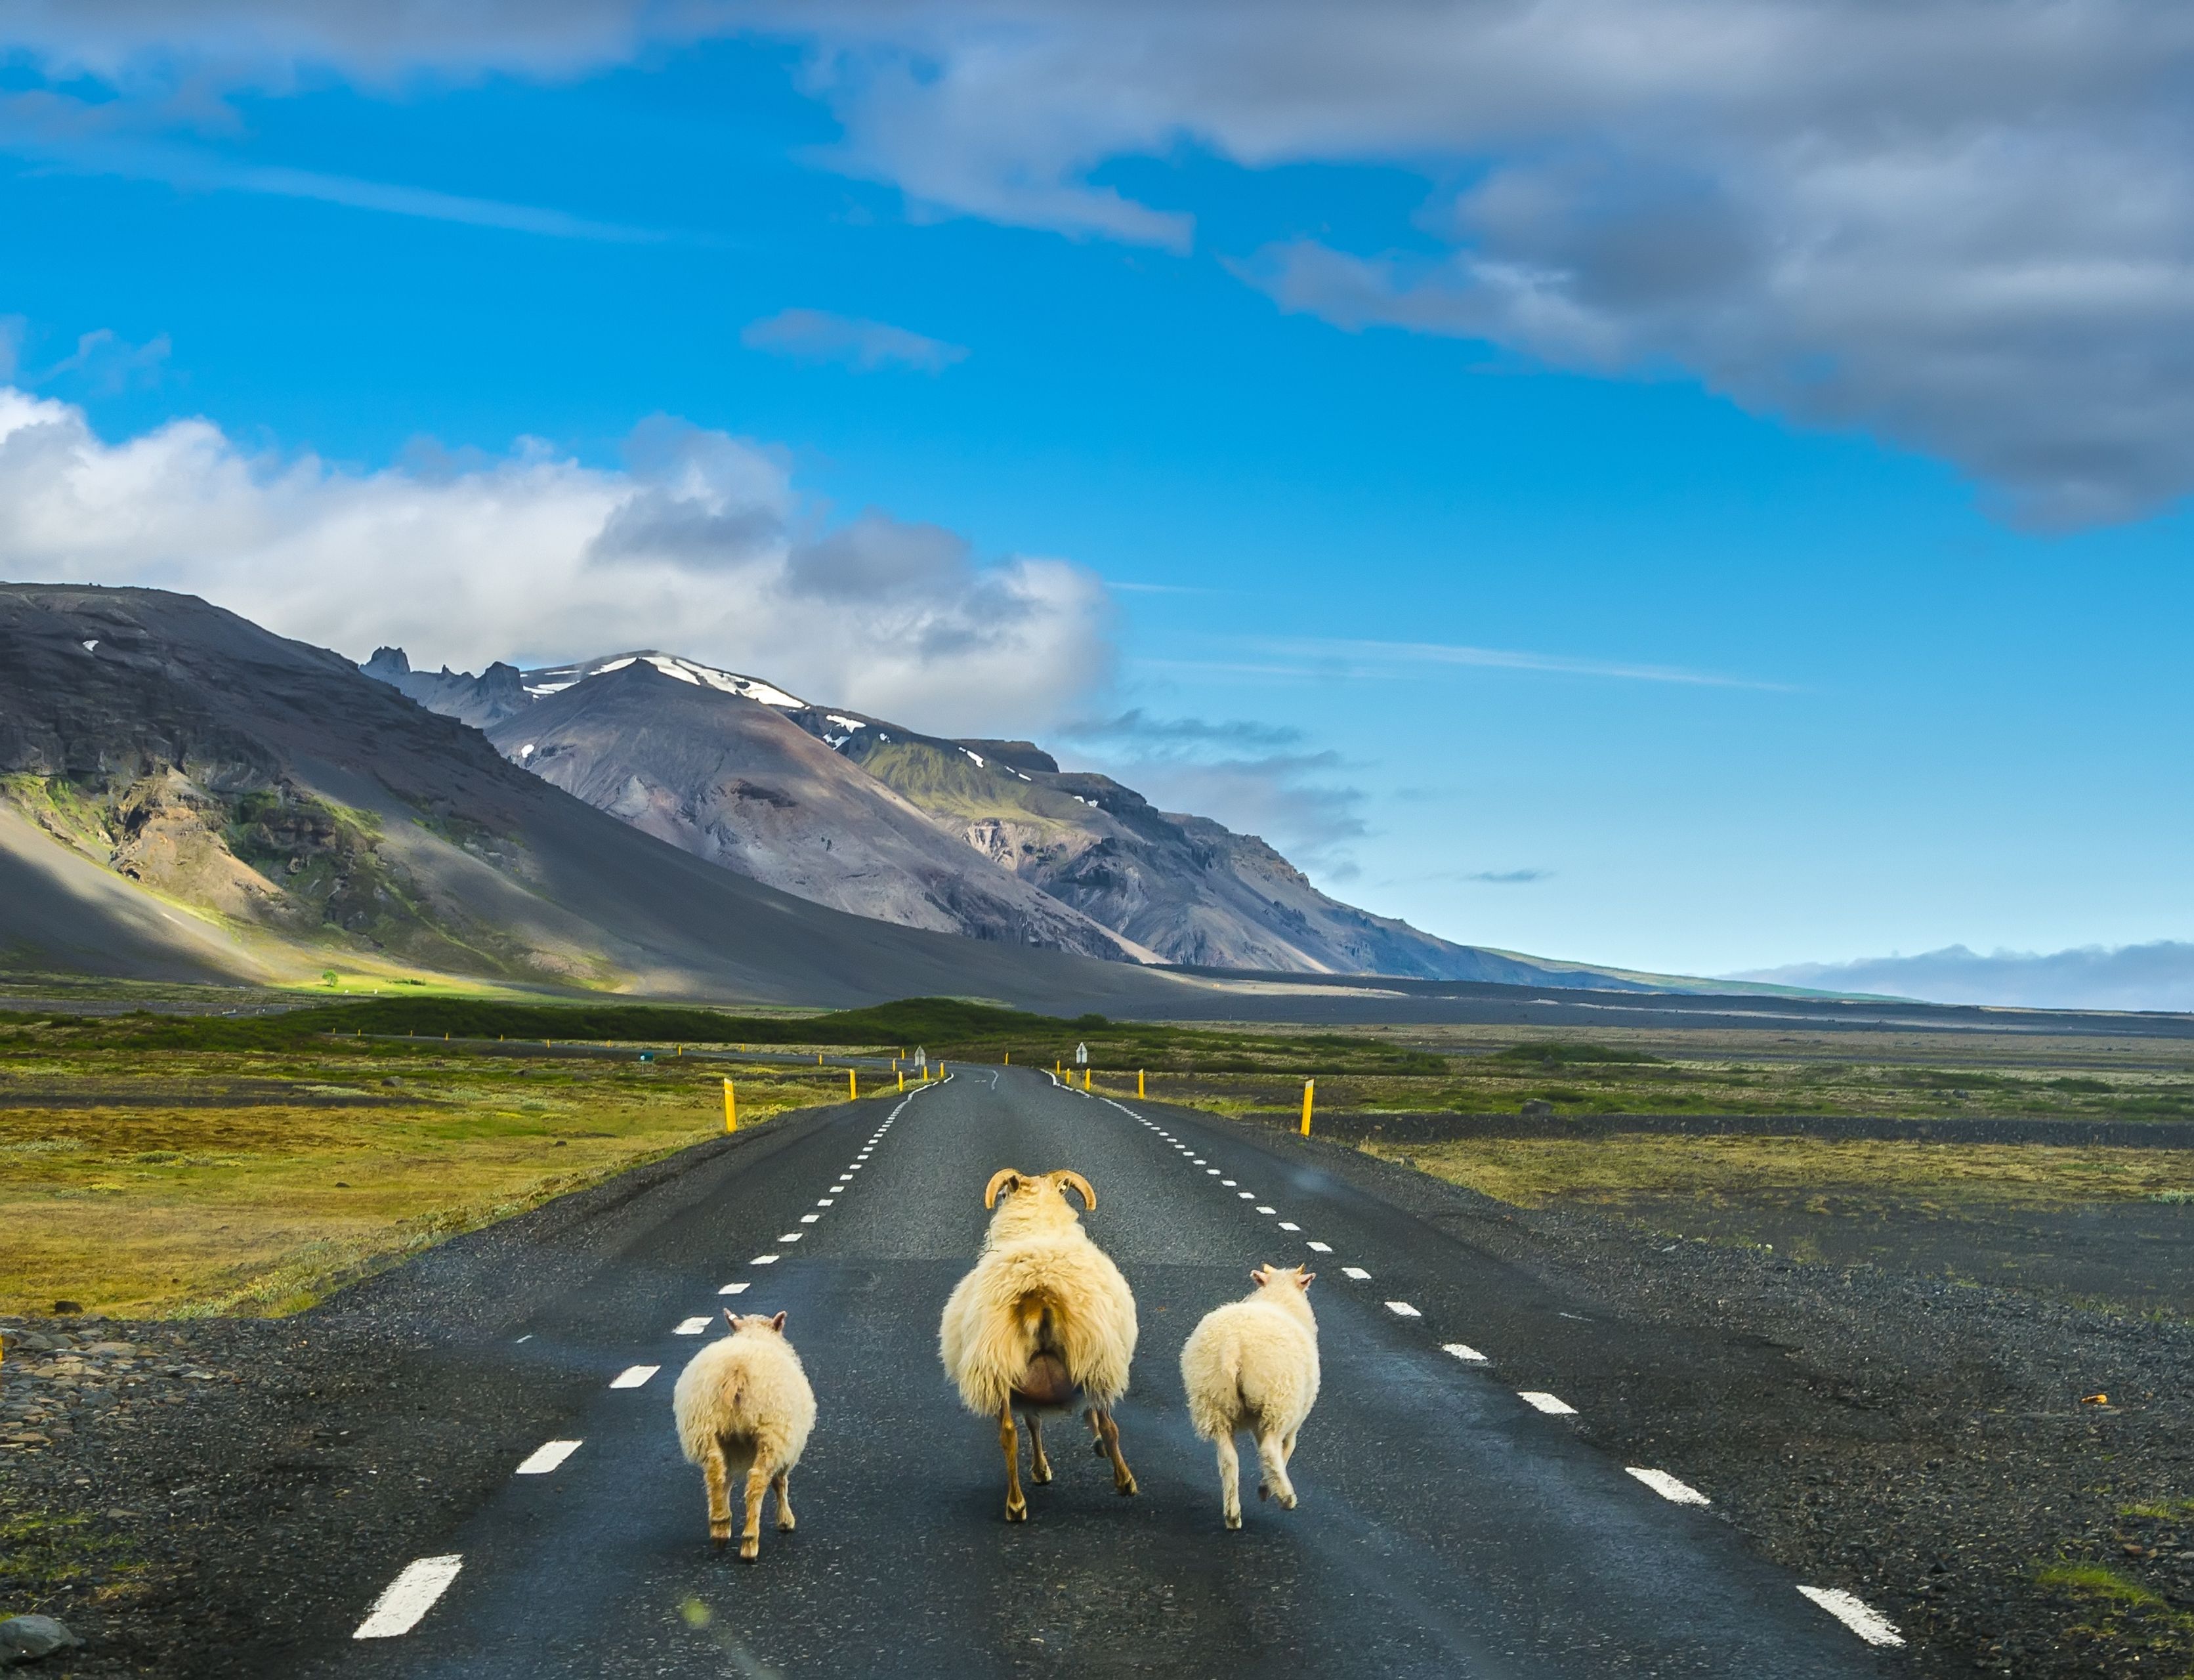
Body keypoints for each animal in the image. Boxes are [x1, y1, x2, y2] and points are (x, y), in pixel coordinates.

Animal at [671, 1316, 820, 1561]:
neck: (754, 1335)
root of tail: (737, 1370)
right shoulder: (785, 1442)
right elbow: (780, 1481)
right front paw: (785, 1521)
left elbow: (727, 1481)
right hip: (770, 1434)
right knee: (757, 1482)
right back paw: (750, 1542)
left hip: (706, 1428)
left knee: (716, 1474)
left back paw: (720, 1527)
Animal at [935, 1175, 1141, 1526]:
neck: (1037, 1227)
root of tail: (1039, 1291)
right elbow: (1079, 1421)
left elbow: (1034, 1423)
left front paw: (1041, 1470)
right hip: (1093, 1360)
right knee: (1107, 1425)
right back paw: (1124, 1480)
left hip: (1002, 1366)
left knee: (1008, 1433)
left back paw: (1016, 1505)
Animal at [1185, 1272, 1316, 1535]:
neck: (1280, 1300)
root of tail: (1232, 1345)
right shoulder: (1292, 1418)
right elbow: (1287, 1449)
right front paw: (1267, 1487)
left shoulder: (1257, 1421)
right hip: (1277, 1402)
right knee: (1268, 1451)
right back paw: (1285, 1497)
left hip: (1213, 1403)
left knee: (1228, 1460)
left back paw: (1233, 1515)